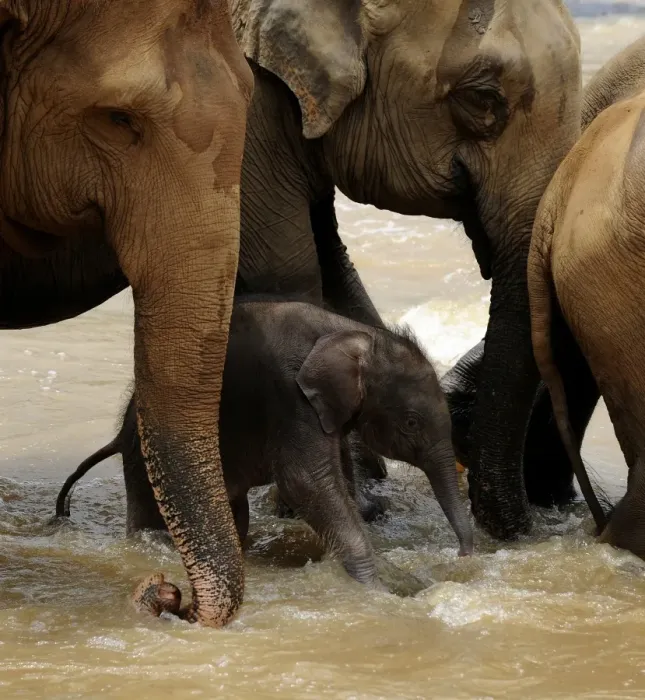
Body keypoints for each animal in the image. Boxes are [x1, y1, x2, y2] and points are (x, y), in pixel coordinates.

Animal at [54, 298, 473, 615]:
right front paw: (376, 589)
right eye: (411, 422)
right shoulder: (290, 397)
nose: (462, 556)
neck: (351, 331)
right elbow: (305, 481)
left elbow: (337, 476)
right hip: (145, 459)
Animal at [229, 0, 583, 540]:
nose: (527, 528)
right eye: (483, 98)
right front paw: (344, 506)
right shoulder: (245, 111)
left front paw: (366, 497)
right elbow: (290, 275)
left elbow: (334, 271)